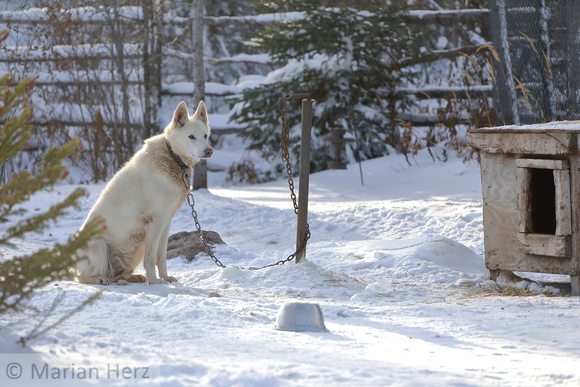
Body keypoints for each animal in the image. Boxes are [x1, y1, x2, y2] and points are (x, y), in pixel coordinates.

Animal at [75, 101, 213, 284]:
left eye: (205, 136)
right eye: (191, 137)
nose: (209, 151)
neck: (172, 158)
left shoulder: (166, 222)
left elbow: (161, 256)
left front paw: (165, 277)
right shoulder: (155, 222)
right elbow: (151, 258)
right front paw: (155, 282)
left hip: (137, 244)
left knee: (119, 275)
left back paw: (133, 277)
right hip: (99, 245)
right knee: (81, 277)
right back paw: (99, 279)